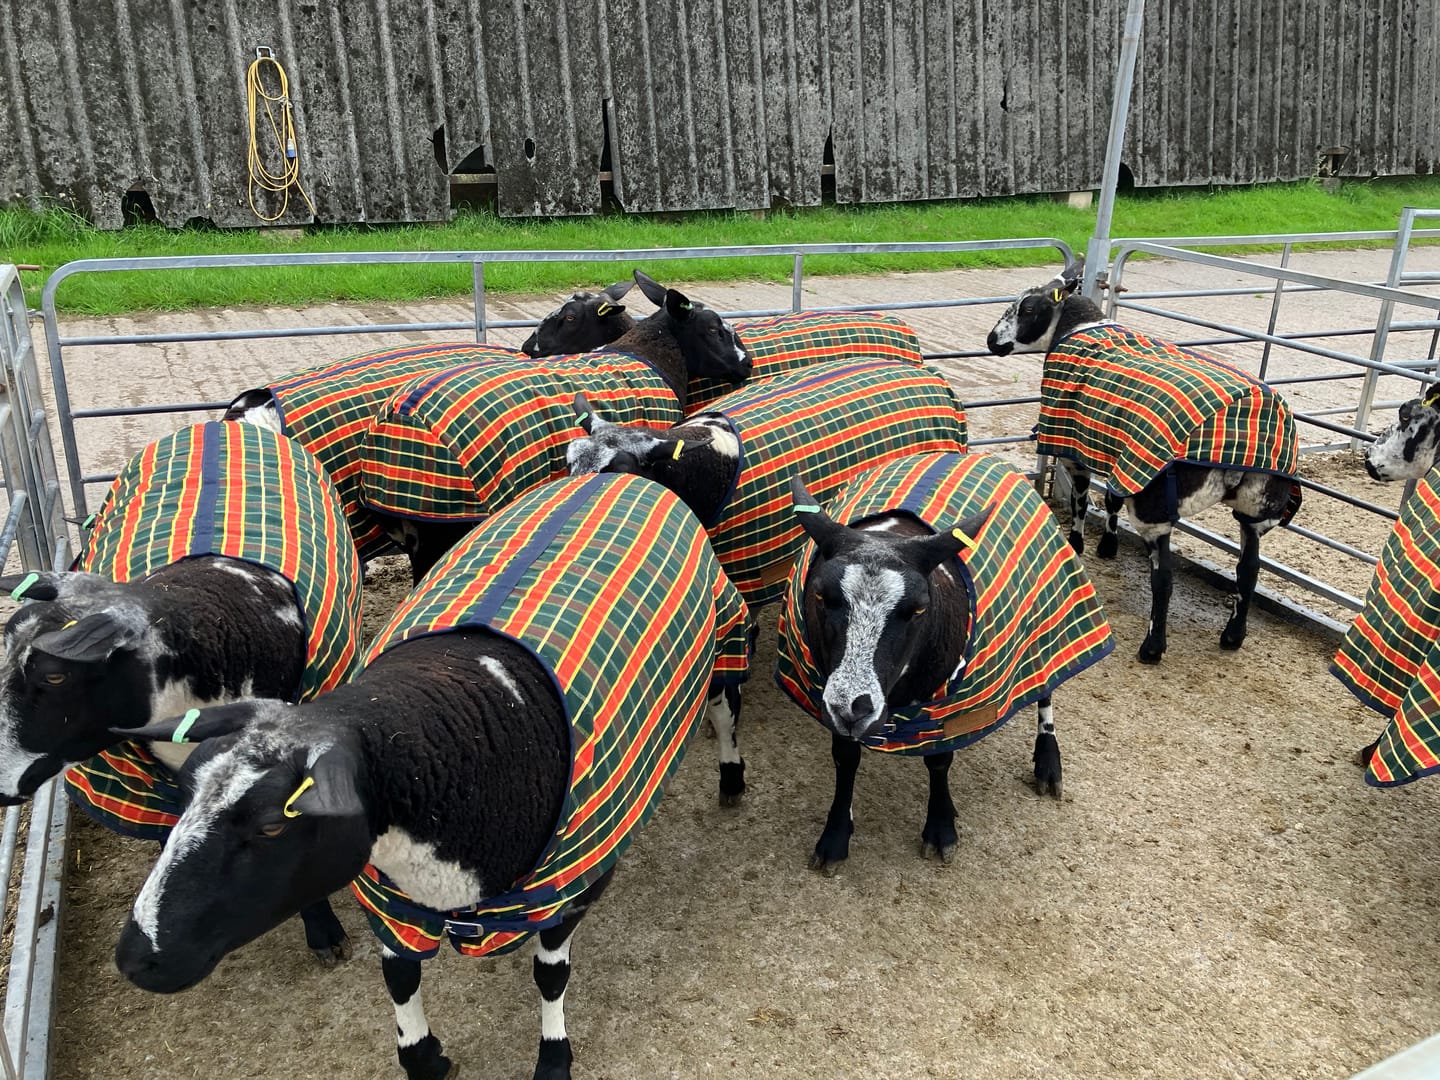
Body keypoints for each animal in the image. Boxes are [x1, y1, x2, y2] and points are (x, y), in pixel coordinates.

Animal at [111, 472, 748, 1080]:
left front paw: (553, 1059)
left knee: (722, 710)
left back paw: (732, 779)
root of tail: (620, 476)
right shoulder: (392, 898)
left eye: (273, 824)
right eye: (184, 794)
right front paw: (423, 1057)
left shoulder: (570, 891)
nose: (136, 960)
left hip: (723, 639)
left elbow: (550, 977)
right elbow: (400, 977)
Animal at [359, 270, 752, 582]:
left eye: (570, 317)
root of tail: (391, 424)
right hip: (441, 525)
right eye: (714, 328)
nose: (746, 364)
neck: (650, 353)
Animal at [566, 356, 969, 806]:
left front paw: (731, 772)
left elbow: (723, 698)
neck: (713, 467)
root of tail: (929, 374)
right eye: (570, 463)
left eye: (618, 472)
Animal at [774, 453, 1113, 872]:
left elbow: (939, 760)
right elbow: (845, 756)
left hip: (1045, 620)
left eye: (919, 608)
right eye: (821, 595)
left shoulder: (951, 703)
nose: (855, 707)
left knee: (1045, 684)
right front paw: (835, 837)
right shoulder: (829, 693)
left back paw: (1048, 763)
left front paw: (940, 829)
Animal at [986, 256, 1302, 664]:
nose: (992, 341)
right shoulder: (1119, 456)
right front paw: (1108, 546)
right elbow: (1111, 499)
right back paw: (1233, 635)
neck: (1076, 327)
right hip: (1258, 504)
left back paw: (1152, 647)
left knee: (1163, 578)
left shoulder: (1075, 447)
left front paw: (1078, 545)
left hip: (1155, 503)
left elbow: (1082, 498)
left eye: (1026, 308)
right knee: (1249, 570)